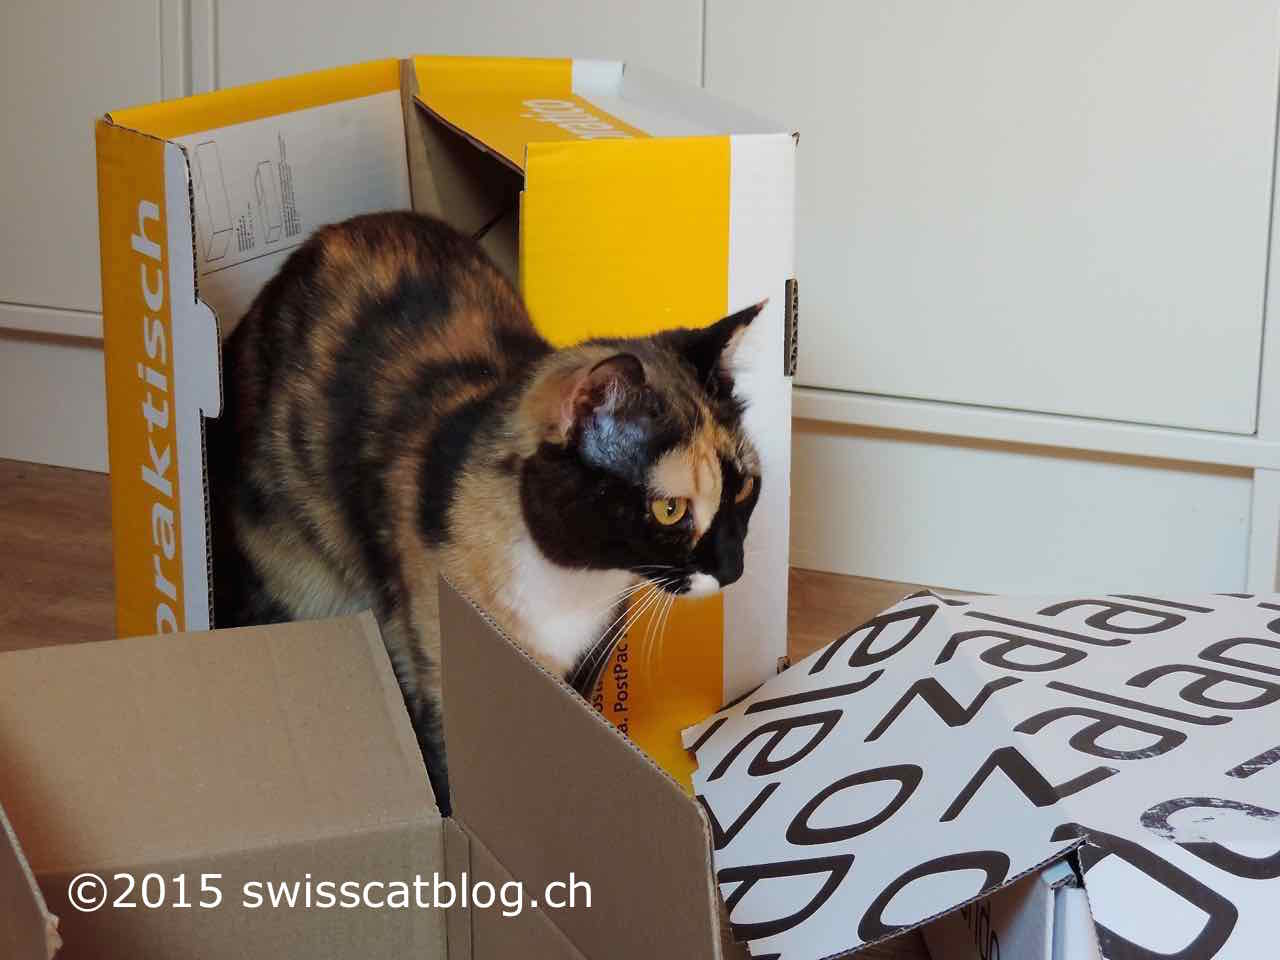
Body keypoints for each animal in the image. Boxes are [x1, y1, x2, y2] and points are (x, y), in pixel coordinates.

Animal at [208, 211, 763, 816]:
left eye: (744, 488)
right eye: (669, 509)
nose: (733, 568)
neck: (570, 581)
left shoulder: (586, 665)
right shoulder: (437, 662)